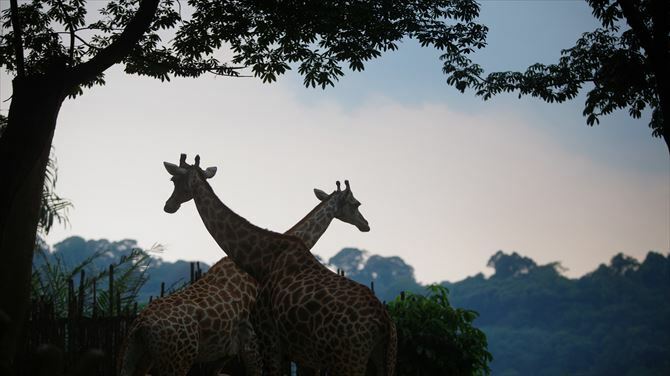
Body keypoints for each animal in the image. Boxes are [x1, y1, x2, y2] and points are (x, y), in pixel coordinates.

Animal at [119, 158, 372, 374]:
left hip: (138, 358)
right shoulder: (253, 341)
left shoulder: (223, 354)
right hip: (176, 359)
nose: (366, 224)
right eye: (356, 203)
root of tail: (139, 325)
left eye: (174, 180)